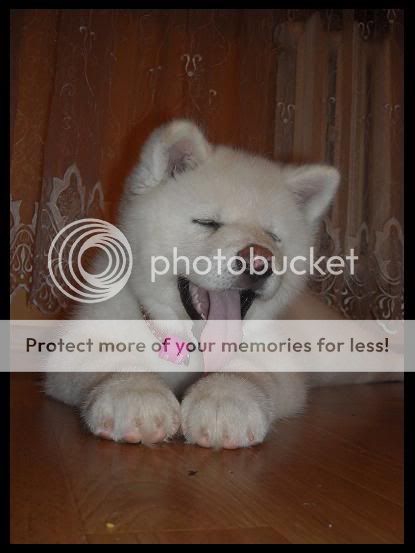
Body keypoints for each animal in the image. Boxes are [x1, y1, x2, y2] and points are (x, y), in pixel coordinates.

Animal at [45, 120, 400, 449]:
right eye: (208, 222)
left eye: (273, 236)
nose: (258, 261)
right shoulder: (73, 348)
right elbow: (109, 360)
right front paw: (134, 393)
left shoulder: (277, 362)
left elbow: (245, 371)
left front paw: (223, 400)